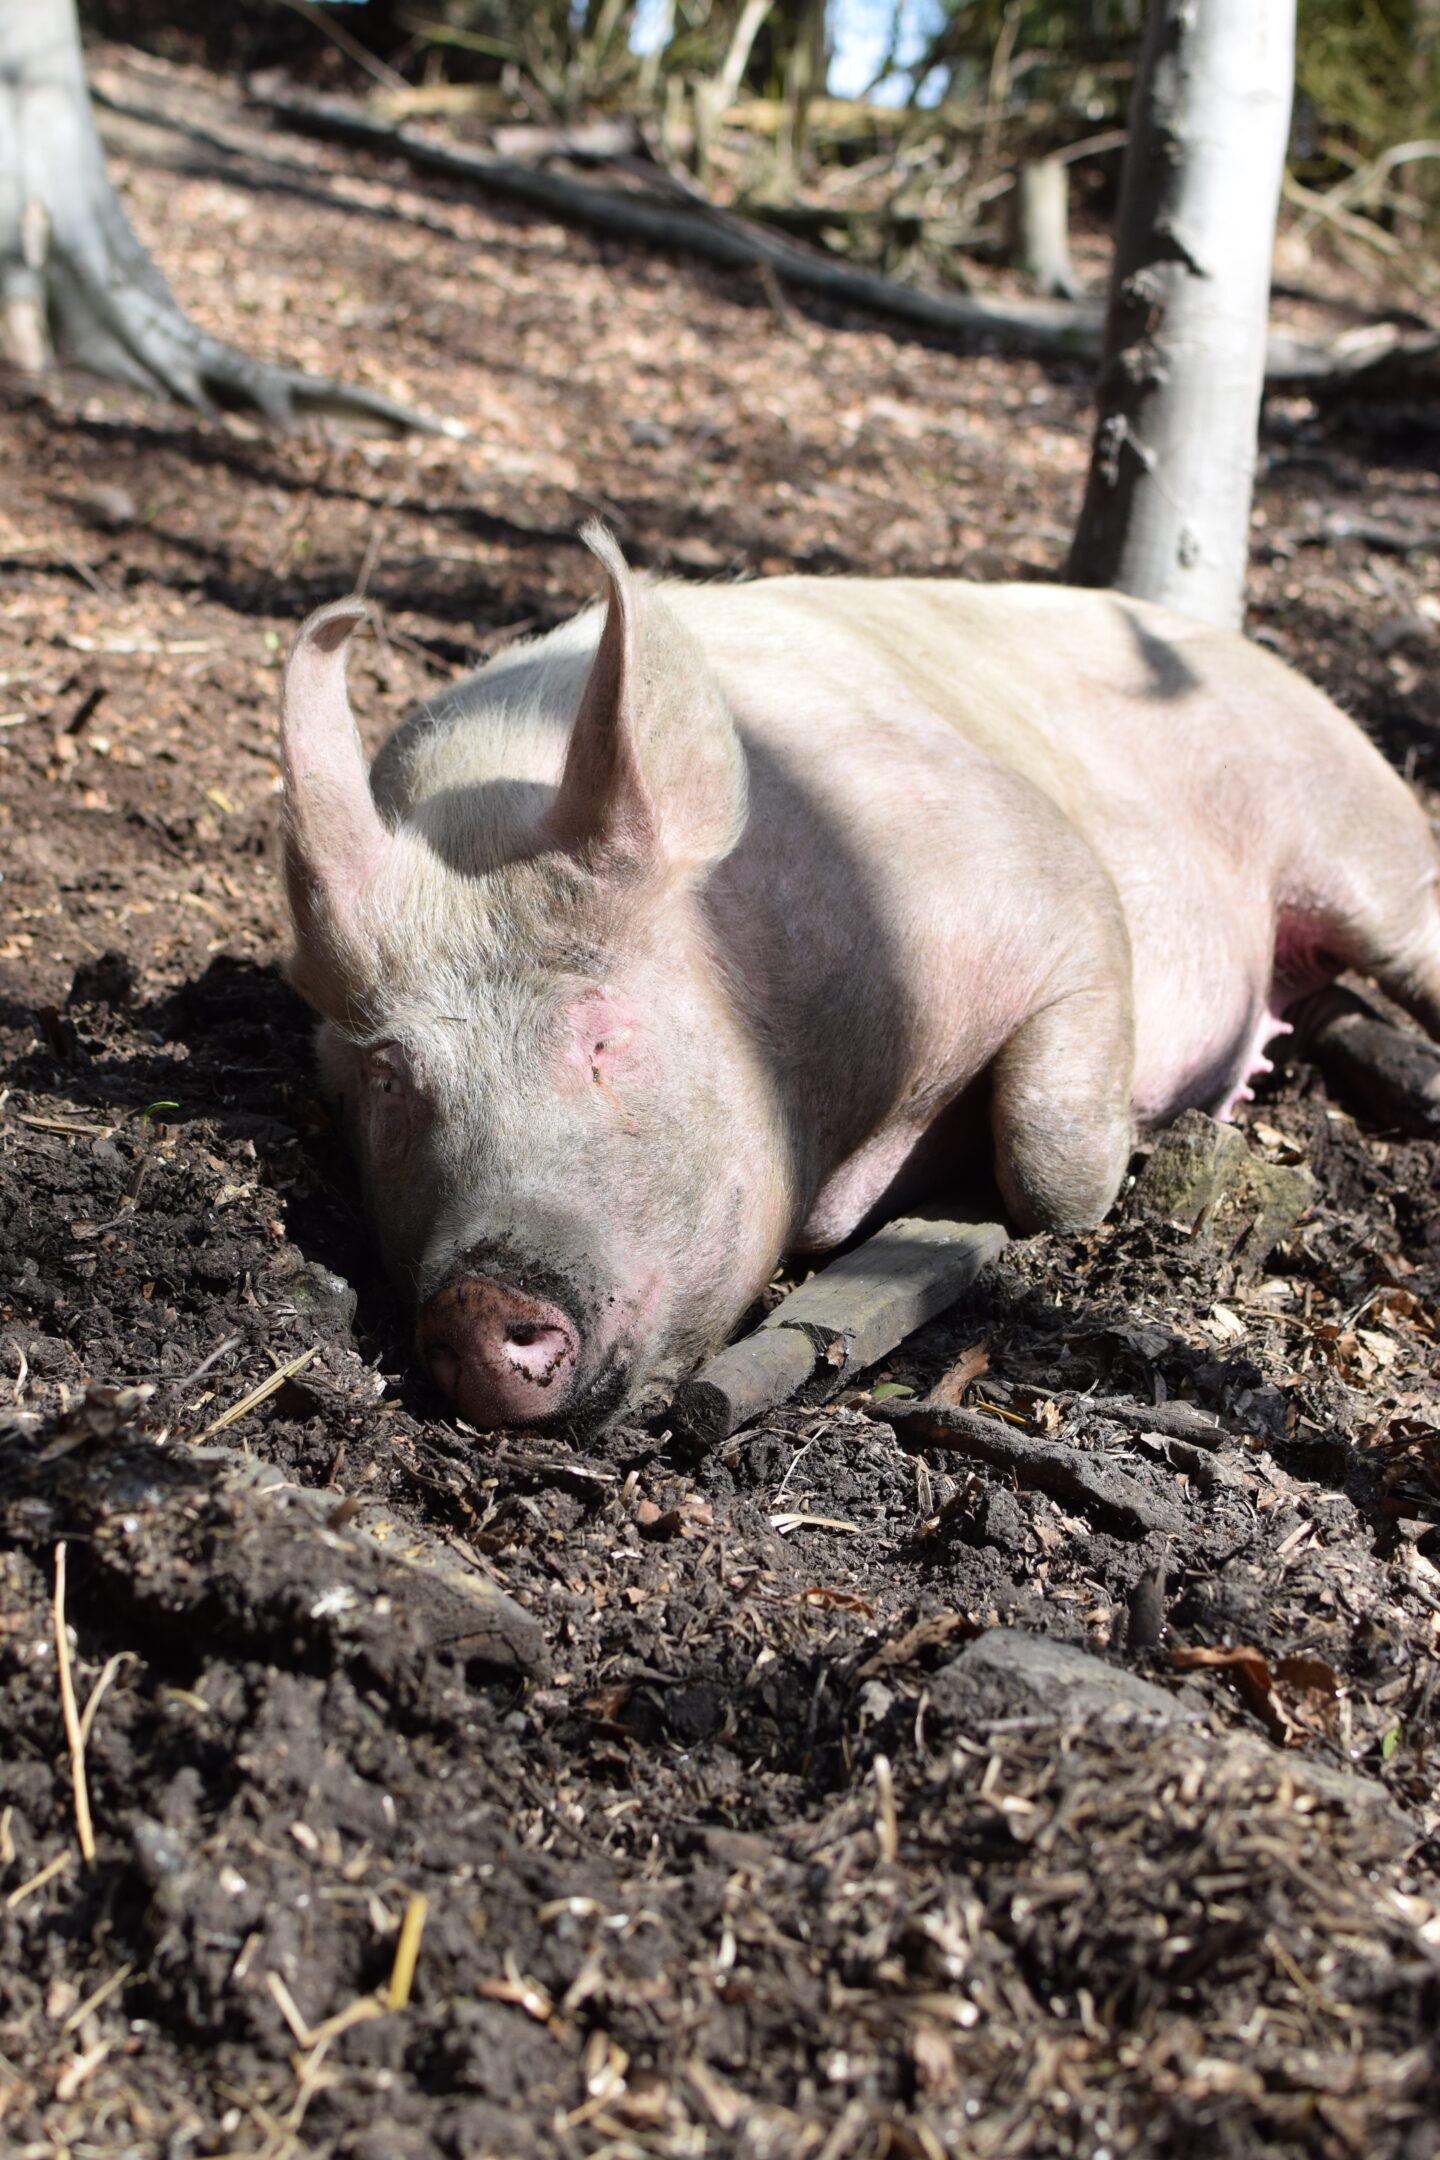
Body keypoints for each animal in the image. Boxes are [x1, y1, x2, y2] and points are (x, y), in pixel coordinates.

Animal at [280, 528, 1440, 1433]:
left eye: (605, 1038)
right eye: (389, 1081)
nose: (481, 1305)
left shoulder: (1053, 886)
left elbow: (1052, 1166)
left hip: (1358, 821)